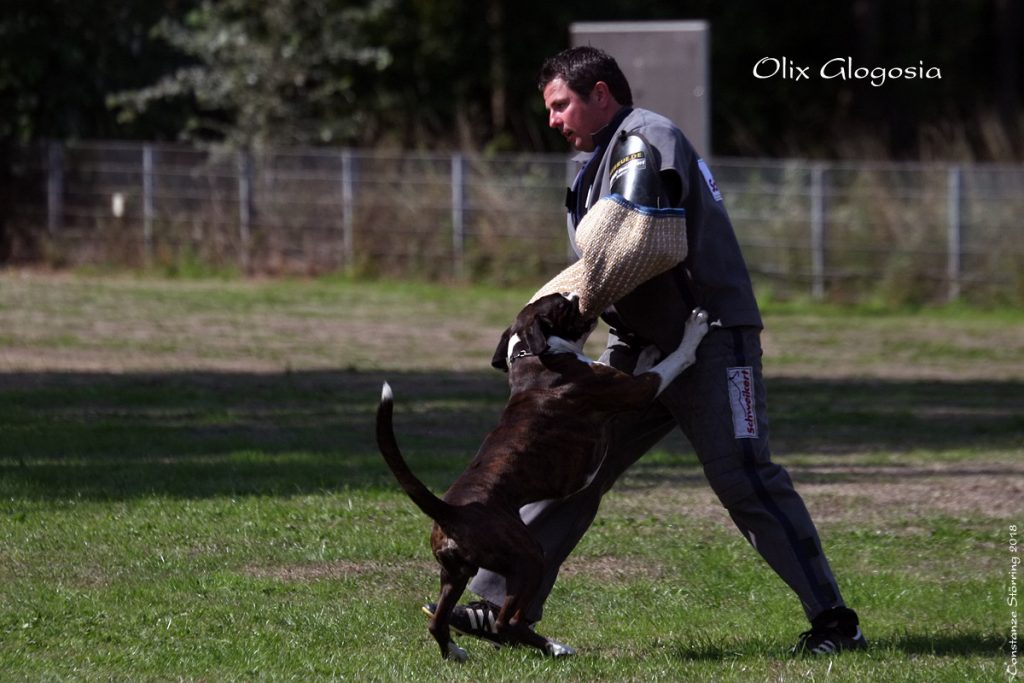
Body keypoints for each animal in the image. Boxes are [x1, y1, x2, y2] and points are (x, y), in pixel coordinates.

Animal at [378, 294, 712, 663]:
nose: (578, 297)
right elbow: (671, 362)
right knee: (506, 621)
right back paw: (554, 647)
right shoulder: (637, 389)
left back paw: (456, 652)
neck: (533, 354)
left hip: (455, 574)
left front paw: (650, 346)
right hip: (529, 559)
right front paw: (693, 329)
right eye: (563, 304)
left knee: (438, 621)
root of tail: (450, 511)